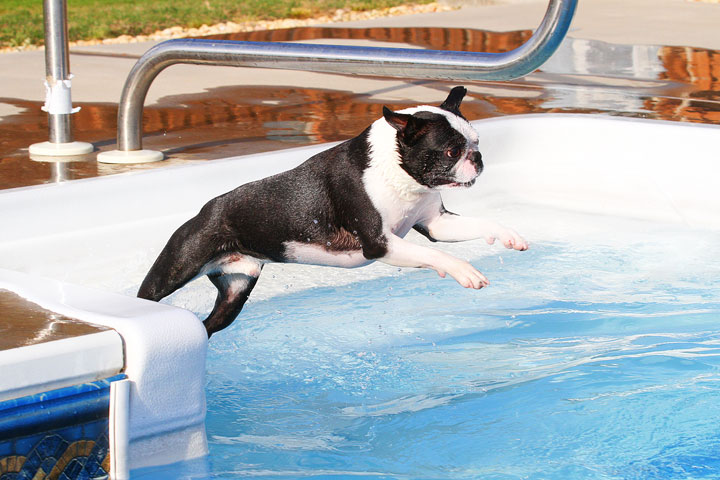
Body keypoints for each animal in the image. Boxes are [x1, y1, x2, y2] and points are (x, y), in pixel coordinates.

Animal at [138, 88, 524, 340]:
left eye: (476, 143)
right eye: (450, 151)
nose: (478, 158)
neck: (398, 171)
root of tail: (206, 210)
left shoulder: (435, 223)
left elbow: (473, 226)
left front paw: (508, 234)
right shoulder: (379, 244)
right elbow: (437, 255)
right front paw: (465, 271)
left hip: (235, 291)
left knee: (209, 325)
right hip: (175, 268)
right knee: (150, 297)